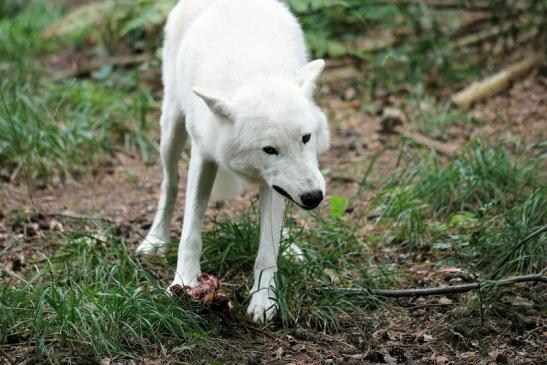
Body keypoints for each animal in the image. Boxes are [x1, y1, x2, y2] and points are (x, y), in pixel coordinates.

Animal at [139, 0, 332, 320]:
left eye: (306, 138)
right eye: (270, 150)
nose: (313, 196)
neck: (255, 74)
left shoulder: (274, 184)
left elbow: (267, 248)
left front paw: (263, 300)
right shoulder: (203, 156)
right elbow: (190, 232)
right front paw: (184, 281)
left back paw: (291, 247)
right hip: (171, 130)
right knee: (170, 184)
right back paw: (155, 239)